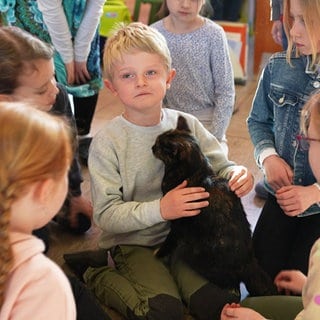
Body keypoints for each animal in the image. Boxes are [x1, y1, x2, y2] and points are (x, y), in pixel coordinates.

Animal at [151, 114, 276, 296]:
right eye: (157, 141)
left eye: (160, 145)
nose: (152, 147)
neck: (194, 170)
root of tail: (248, 262)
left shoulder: (178, 223)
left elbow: (169, 241)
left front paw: (158, 253)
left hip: (192, 251)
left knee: (229, 281)